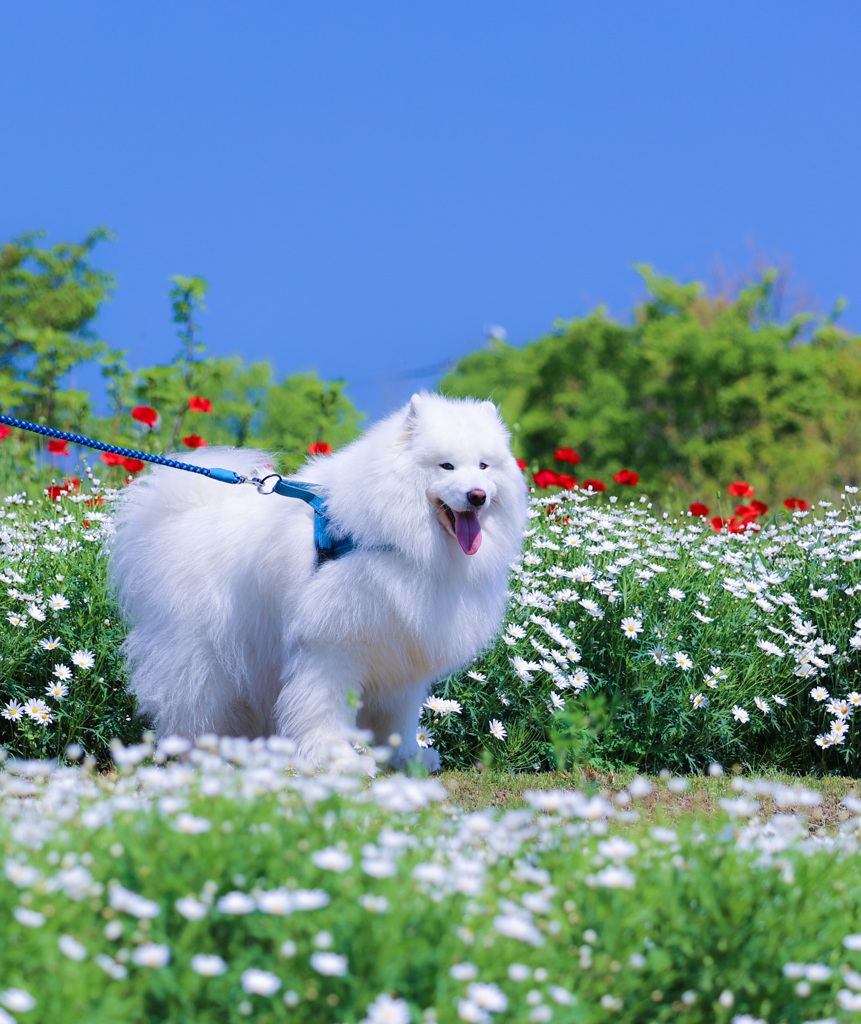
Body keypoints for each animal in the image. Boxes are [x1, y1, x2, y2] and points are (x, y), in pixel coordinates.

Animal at [104, 389, 528, 770]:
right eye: (446, 466)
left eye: (484, 466)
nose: (477, 496)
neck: (397, 537)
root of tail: (177, 517)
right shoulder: (332, 647)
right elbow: (325, 708)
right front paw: (336, 759)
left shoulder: (402, 652)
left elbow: (399, 719)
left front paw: (407, 758)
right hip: (205, 658)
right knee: (192, 708)